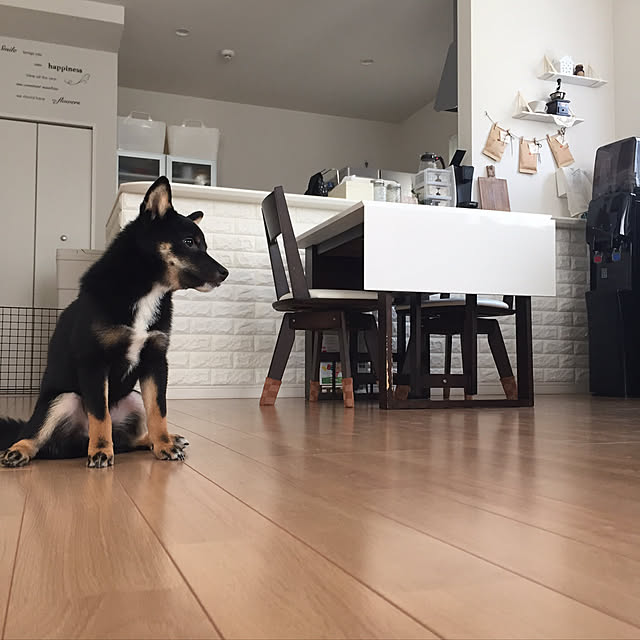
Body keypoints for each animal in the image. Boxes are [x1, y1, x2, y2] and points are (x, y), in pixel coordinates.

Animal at [0, 176, 228, 468]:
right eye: (189, 242)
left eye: (204, 246)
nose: (225, 273)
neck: (146, 290)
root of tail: (76, 445)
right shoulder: (94, 362)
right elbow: (100, 415)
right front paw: (100, 451)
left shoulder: (155, 362)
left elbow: (159, 412)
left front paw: (164, 445)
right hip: (61, 400)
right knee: (38, 438)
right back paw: (20, 450)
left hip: (134, 398)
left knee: (128, 439)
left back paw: (161, 440)